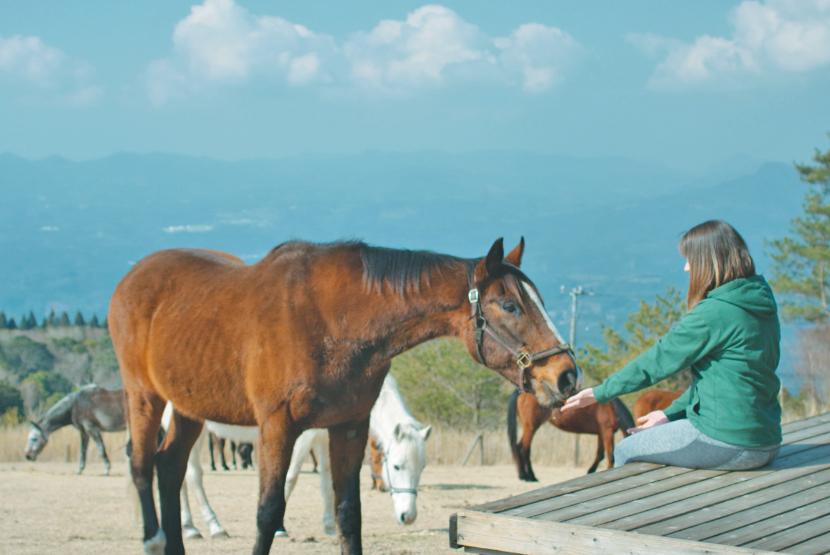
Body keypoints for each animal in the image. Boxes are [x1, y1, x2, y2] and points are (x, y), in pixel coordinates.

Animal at [169, 374, 428, 540]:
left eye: (421, 469)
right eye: (396, 466)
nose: (408, 516)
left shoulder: (323, 438)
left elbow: (327, 481)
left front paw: (330, 526)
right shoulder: (302, 438)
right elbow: (290, 478)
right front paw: (279, 528)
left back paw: (189, 527)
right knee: (192, 475)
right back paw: (213, 527)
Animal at [508, 388, 636, 480]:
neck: (612, 407)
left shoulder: (601, 433)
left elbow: (600, 455)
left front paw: (590, 471)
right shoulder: (607, 432)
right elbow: (610, 456)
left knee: (521, 447)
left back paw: (525, 475)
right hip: (531, 427)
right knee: (523, 449)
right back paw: (528, 476)